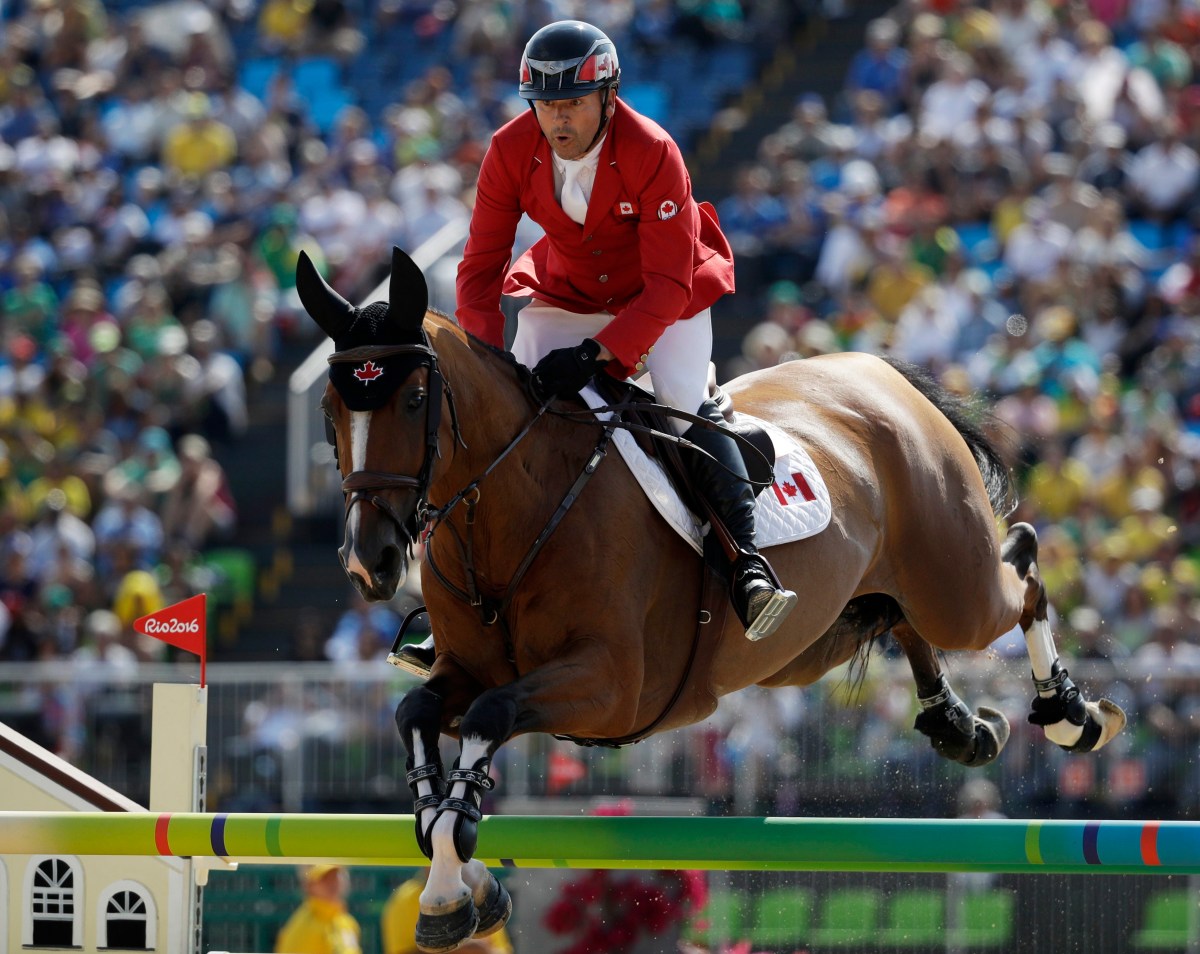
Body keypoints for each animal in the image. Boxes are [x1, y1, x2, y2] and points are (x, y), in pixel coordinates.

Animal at [295, 248, 1128, 954]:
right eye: (333, 411)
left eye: (411, 399)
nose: (368, 563)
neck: (508, 512)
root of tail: (877, 374)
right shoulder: (465, 672)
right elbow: (418, 719)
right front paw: (457, 883)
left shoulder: (611, 686)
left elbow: (490, 720)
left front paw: (451, 876)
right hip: (813, 639)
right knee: (901, 615)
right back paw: (958, 724)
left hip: (953, 584)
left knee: (1021, 567)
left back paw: (1071, 714)